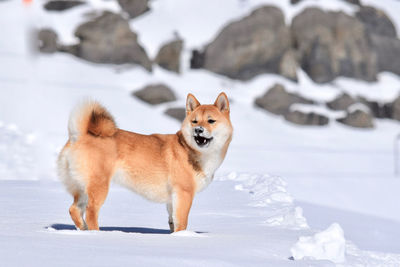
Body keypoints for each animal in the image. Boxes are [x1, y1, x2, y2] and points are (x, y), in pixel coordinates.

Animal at [57, 93, 233, 233]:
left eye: (211, 121)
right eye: (195, 121)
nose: (198, 130)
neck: (190, 151)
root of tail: (79, 135)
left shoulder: (172, 199)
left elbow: (173, 222)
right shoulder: (184, 193)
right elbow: (182, 222)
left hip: (82, 188)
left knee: (73, 210)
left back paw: (83, 230)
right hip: (99, 186)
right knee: (91, 212)